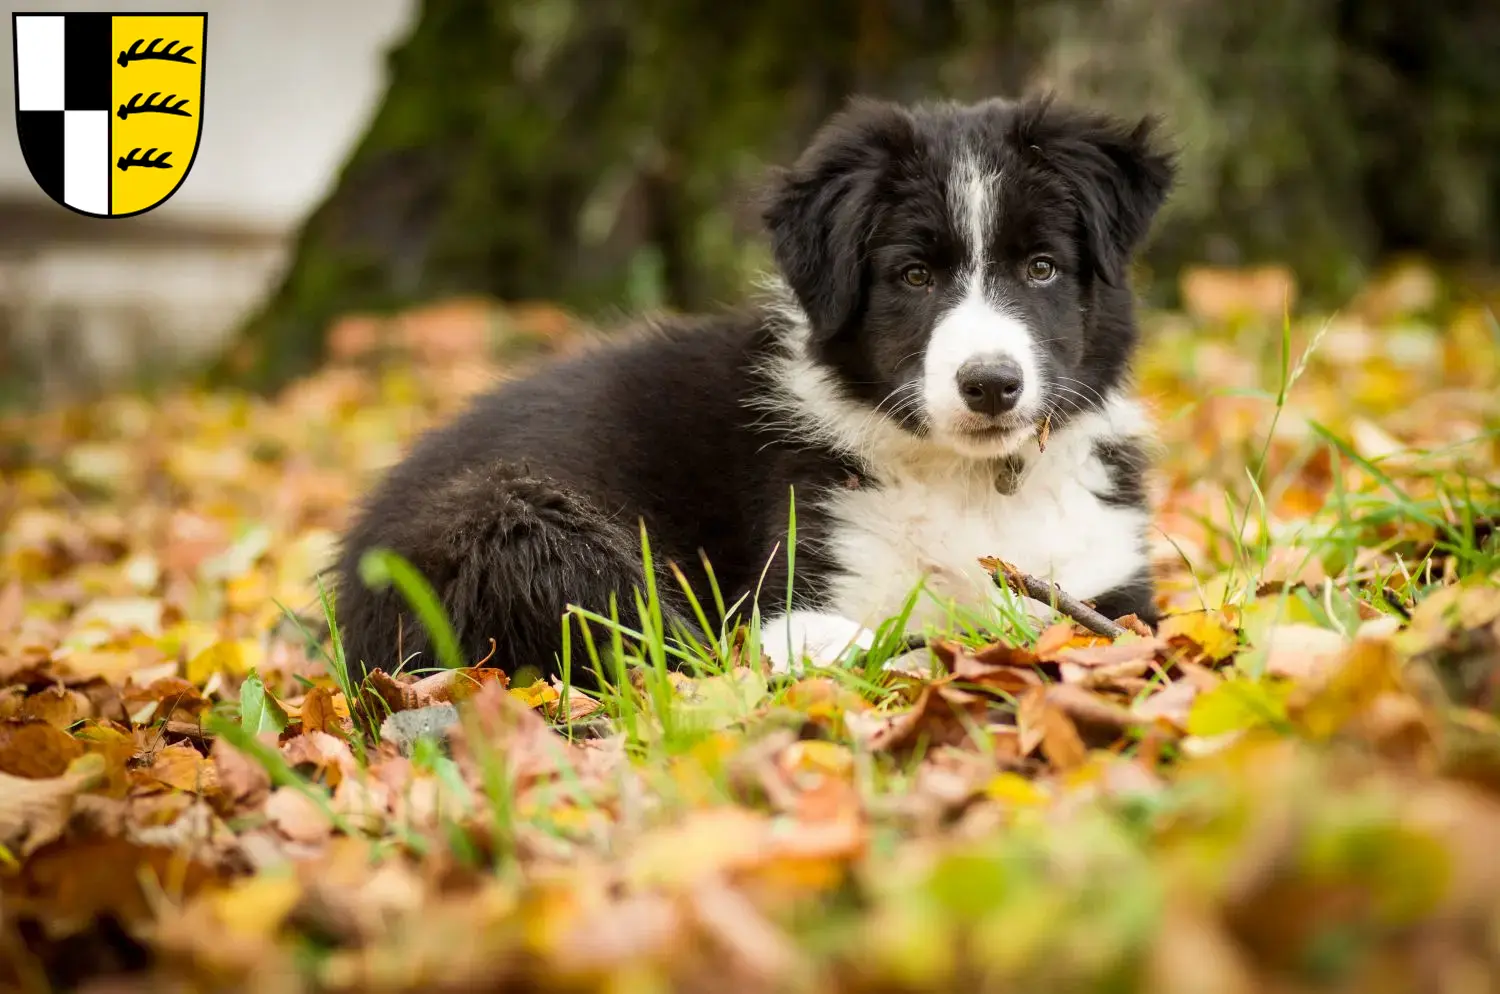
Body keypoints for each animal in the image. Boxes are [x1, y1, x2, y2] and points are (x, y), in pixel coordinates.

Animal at [334, 93, 1176, 680]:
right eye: (914, 275)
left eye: (1042, 267)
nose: (992, 385)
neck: (974, 483)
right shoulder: (804, 587)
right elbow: (866, 635)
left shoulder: (1111, 584)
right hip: (511, 524)